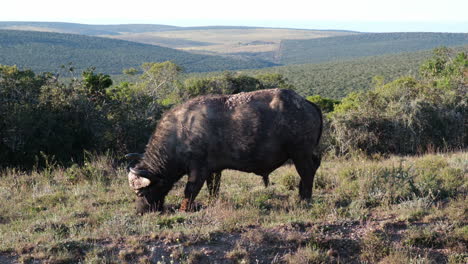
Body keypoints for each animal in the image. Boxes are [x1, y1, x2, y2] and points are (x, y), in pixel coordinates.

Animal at [127, 88, 322, 214]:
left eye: (141, 192)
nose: (139, 212)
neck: (180, 131)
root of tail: (306, 103)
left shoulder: (198, 169)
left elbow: (190, 190)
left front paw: (184, 209)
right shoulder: (214, 170)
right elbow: (213, 188)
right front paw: (212, 203)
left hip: (300, 154)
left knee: (307, 173)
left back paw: (304, 199)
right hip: (305, 154)